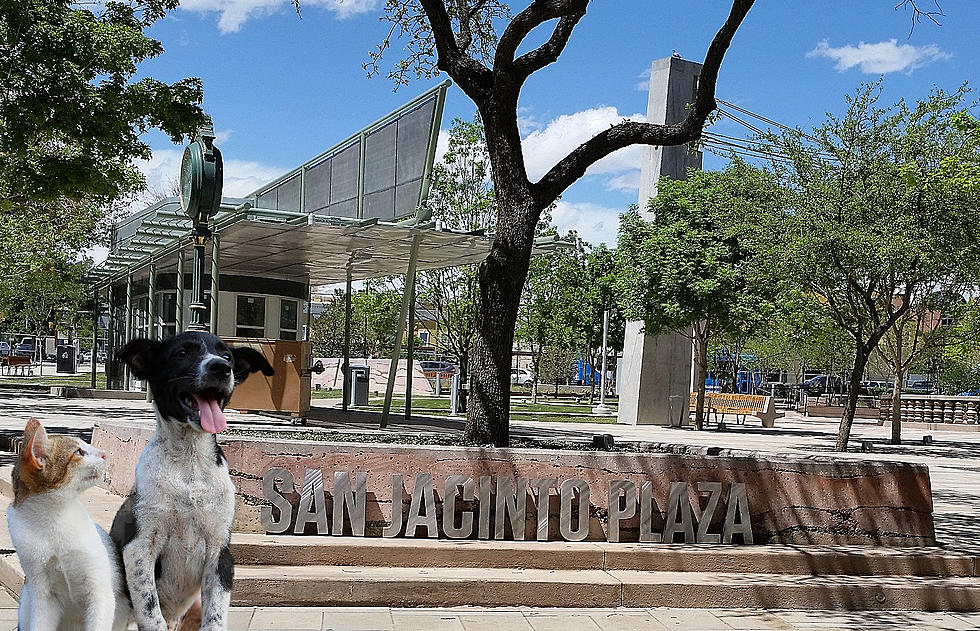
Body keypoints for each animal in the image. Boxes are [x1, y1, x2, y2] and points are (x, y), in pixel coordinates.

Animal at [8, 420, 130, 631]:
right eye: (79, 452)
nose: (104, 453)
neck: (54, 517)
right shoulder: (43, 594)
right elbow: (40, 624)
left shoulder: (100, 593)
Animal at [112, 330, 276, 631]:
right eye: (182, 353)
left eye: (227, 356)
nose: (220, 368)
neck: (190, 465)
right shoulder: (139, 549)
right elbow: (151, 615)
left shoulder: (219, 555)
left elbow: (216, 619)